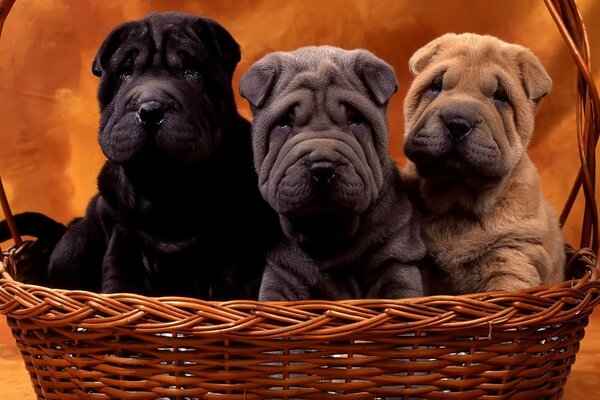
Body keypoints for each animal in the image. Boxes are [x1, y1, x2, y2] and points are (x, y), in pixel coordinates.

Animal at [47, 12, 278, 298]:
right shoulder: (122, 238)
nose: (150, 109)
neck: (163, 188)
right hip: (72, 245)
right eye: (125, 73)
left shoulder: (235, 240)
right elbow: (119, 279)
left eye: (192, 71)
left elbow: (232, 279)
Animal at [239, 46, 426, 300]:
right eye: (285, 122)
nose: (322, 167)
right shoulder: (282, 273)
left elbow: (399, 292)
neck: (326, 233)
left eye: (355, 120)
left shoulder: (396, 259)